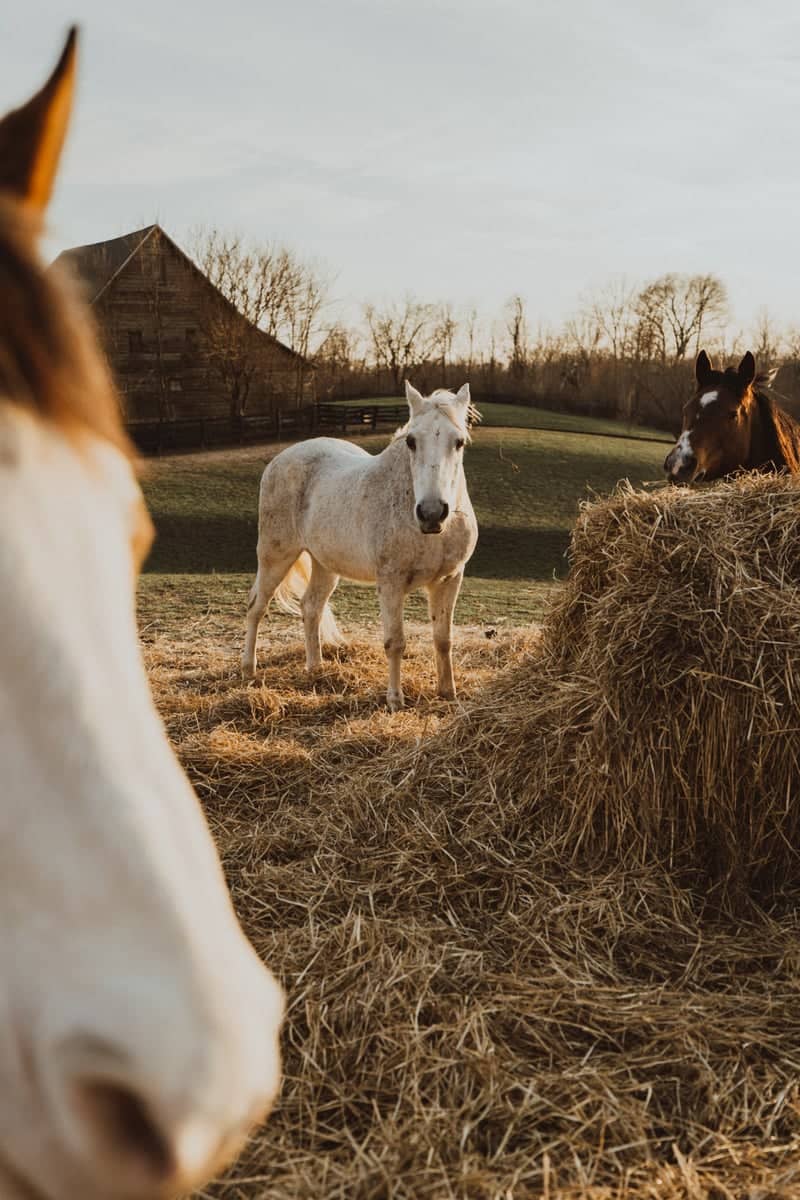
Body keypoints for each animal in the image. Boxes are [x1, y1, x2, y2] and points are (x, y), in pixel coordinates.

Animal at [243, 382, 479, 711]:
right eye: (411, 441)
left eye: (459, 442)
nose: (431, 513)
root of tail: (282, 458)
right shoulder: (391, 582)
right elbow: (395, 642)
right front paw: (395, 700)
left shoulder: (449, 579)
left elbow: (443, 639)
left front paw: (448, 693)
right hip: (276, 555)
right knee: (257, 606)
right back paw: (248, 669)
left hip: (325, 564)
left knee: (311, 607)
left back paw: (316, 669)